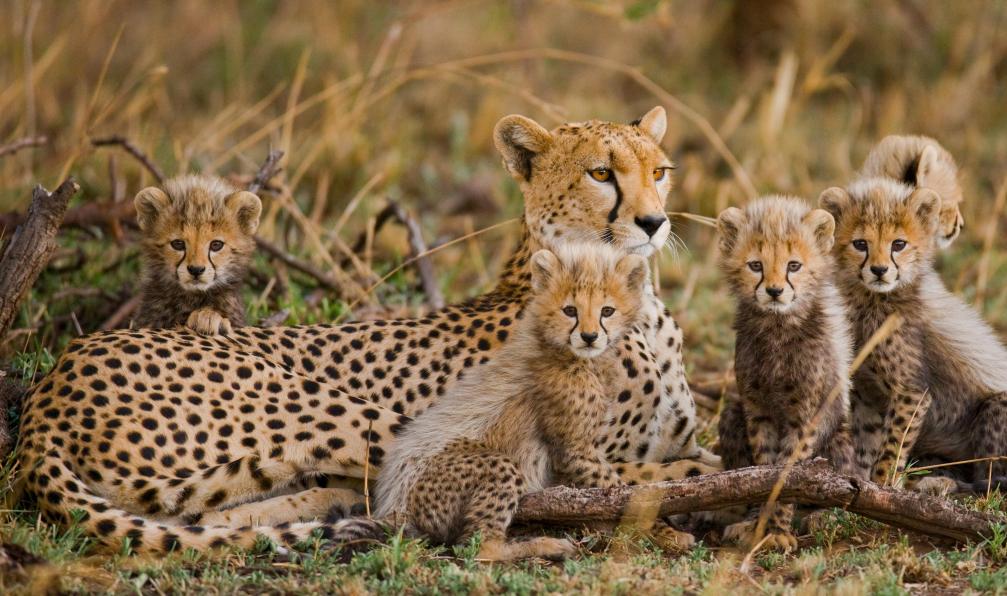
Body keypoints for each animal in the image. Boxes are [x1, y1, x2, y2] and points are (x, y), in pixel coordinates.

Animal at [715, 196, 855, 551]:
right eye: (755, 265)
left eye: (794, 265)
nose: (775, 291)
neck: (778, 327)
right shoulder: (757, 409)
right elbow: (763, 470)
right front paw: (760, 525)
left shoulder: (803, 417)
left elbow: (788, 474)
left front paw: (777, 529)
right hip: (732, 413)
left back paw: (822, 516)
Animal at [820, 177, 1007, 494]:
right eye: (860, 244)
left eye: (899, 244)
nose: (879, 270)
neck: (872, 300)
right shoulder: (868, 392)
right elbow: (867, 442)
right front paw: (861, 482)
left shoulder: (912, 391)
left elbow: (892, 446)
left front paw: (882, 486)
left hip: (995, 406)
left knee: (991, 478)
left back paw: (940, 482)